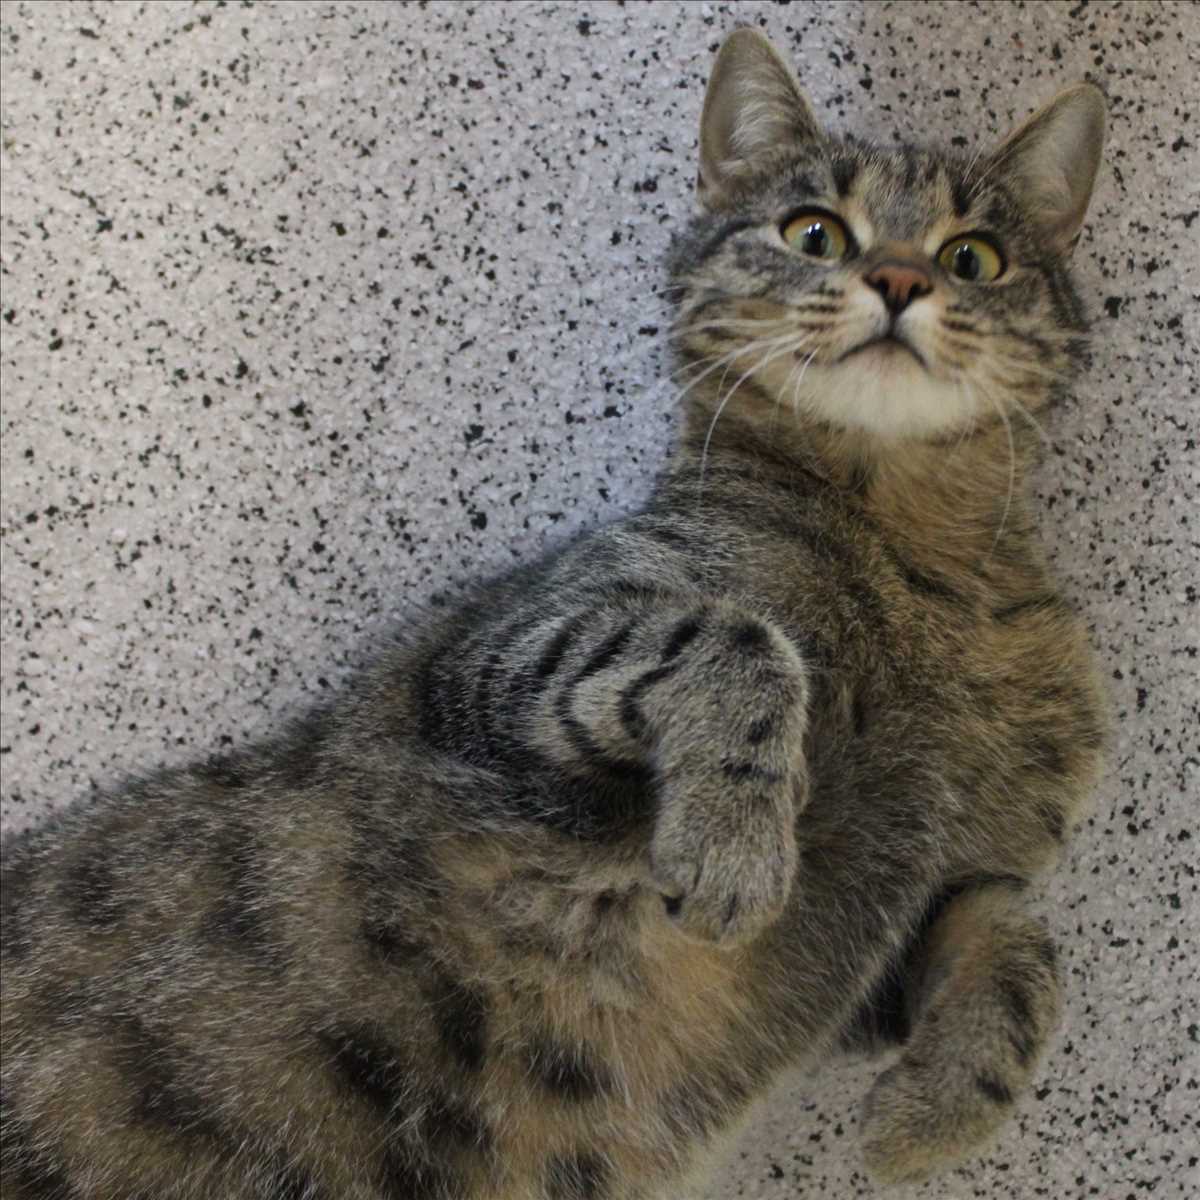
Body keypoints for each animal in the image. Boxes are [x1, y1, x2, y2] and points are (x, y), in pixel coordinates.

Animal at [0, 27, 1108, 1200]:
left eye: (973, 258)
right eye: (815, 231)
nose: (898, 277)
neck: (916, 566)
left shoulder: (935, 896)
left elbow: (1024, 944)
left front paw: (936, 1111)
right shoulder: (499, 663)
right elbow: (733, 638)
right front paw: (736, 846)